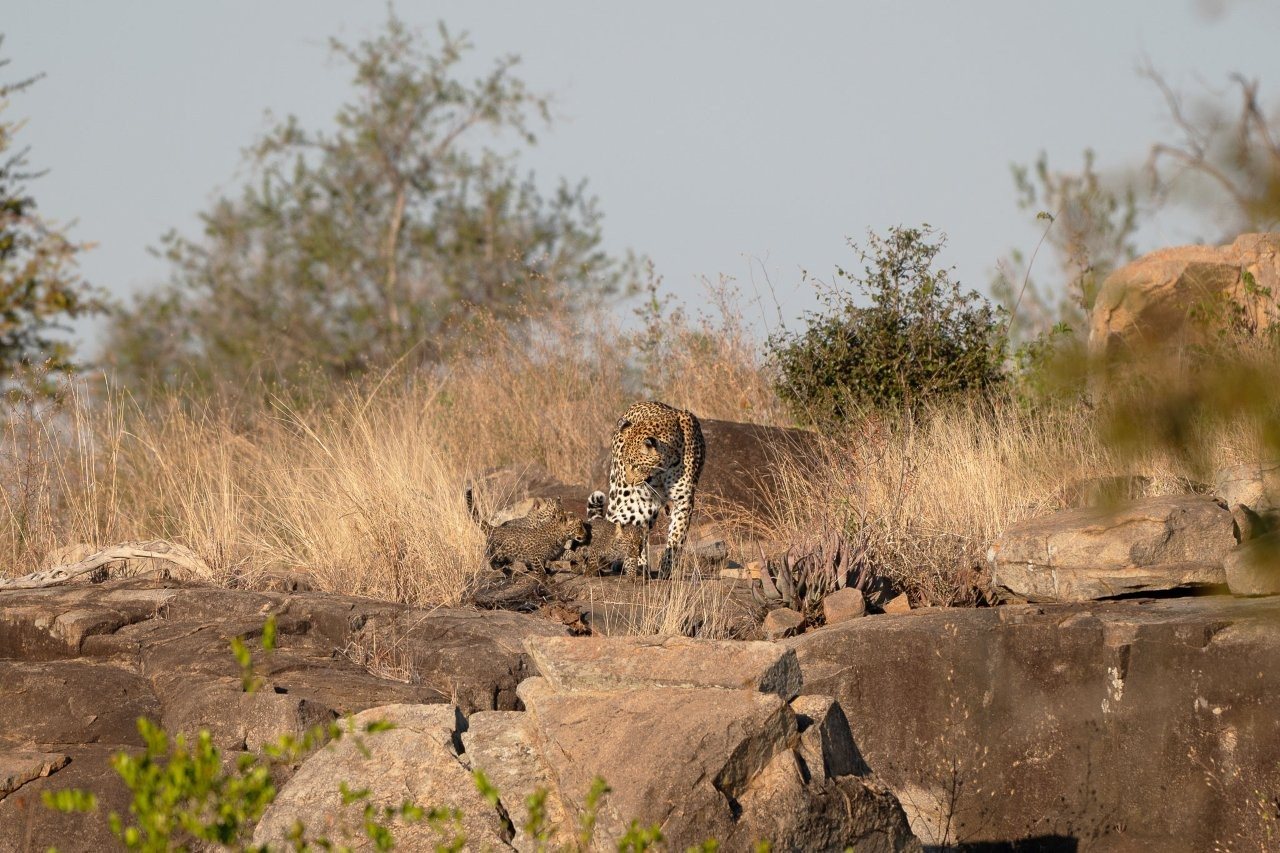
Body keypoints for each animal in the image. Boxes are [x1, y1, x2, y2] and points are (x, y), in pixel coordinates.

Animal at [604, 401, 705, 577]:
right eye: (626, 463)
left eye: (635, 465)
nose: (629, 481)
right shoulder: (641, 501)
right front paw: (638, 564)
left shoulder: (684, 500)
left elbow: (677, 536)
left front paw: (666, 569)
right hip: (622, 494)